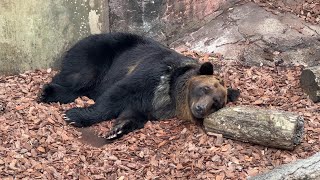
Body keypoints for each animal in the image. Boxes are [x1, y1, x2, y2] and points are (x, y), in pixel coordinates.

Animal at [38, 32, 239, 139]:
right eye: (204, 89)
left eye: (216, 103)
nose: (200, 108)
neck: (170, 93)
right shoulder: (154, 72)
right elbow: (116, 95)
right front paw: (74, 115)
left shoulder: (152, 106)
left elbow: (134, 113)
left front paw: (118, 129)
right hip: (98, 53)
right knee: (79, 77)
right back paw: (47, 92)